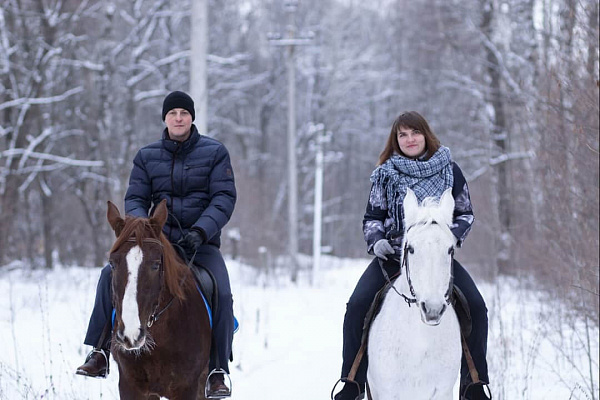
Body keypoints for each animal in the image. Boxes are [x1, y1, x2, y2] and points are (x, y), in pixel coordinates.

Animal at [368, 188, 462, 400]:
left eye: (450, 249)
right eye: (410, 249)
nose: (433, 309)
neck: (421, 341)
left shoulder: (443, 392)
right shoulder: (387, 393)